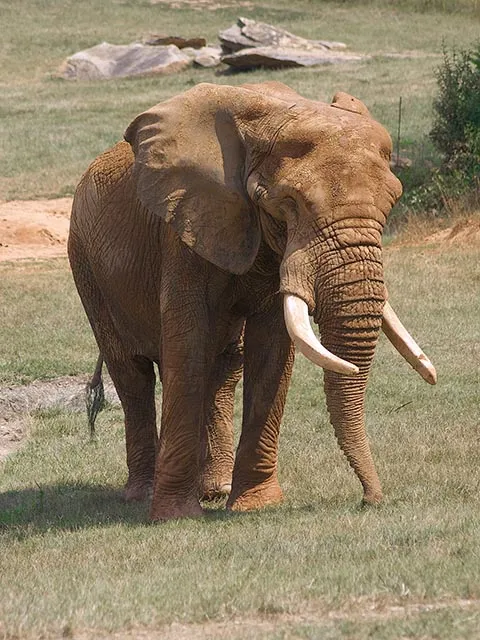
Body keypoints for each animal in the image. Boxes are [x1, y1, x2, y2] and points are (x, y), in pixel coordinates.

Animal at [68, 81, 436, 522]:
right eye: (289, 203)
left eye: (393, 201)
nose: (371, 499)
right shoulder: (185, 227)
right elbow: (186, 346)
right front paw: (176, 516)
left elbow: (272, 348)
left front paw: (256, 506)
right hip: (86, 264)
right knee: (132, 374)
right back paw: (143, 494)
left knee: (225, 367)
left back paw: (215, 489)